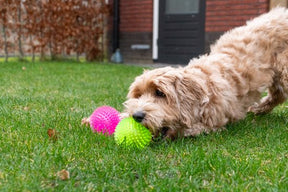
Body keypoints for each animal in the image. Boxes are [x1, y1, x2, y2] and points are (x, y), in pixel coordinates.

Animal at [122, 7, 288, 140]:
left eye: (160, 93)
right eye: (138, 95)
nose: (137, 115)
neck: (205, 86)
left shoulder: (215, 121)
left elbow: (193, 128)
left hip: (284, 70)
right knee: (277, 95)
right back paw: (259, 108)